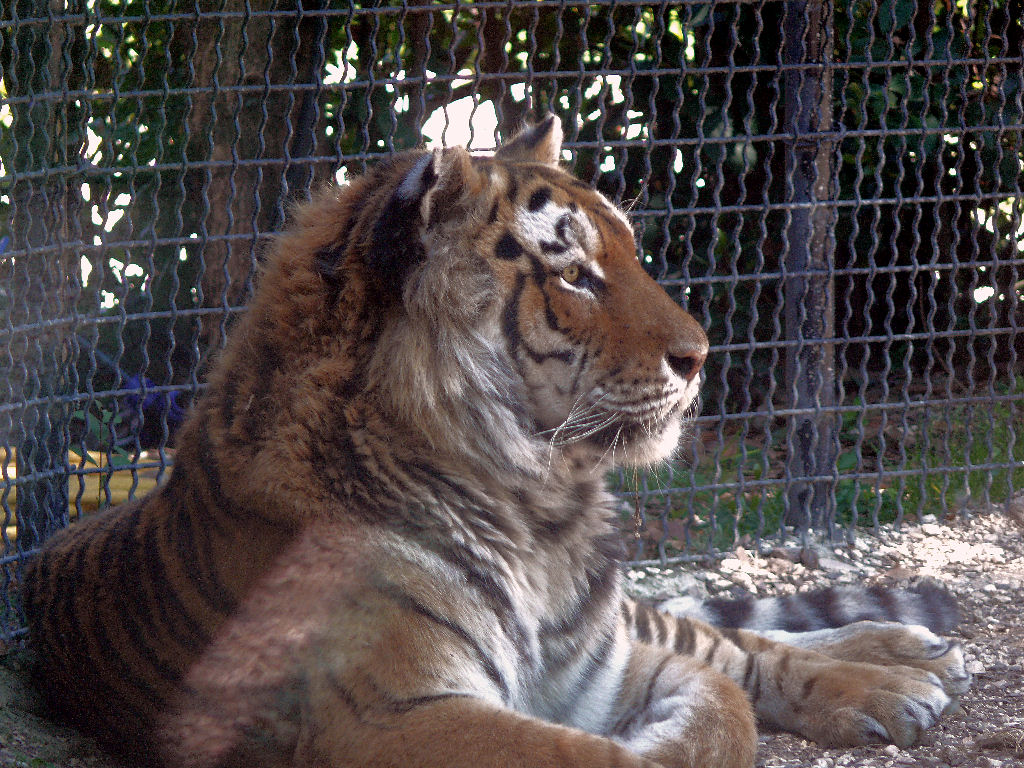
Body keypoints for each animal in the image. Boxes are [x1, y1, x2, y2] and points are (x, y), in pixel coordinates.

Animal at [23, 116, 970, 768]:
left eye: (630, 252)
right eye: (576, 275)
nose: (702, 356)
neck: (535, 514)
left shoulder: (601, 662)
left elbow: (723, 689)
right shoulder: (395, 717)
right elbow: (610, 742)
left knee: (732, 640)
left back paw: (902, 665)